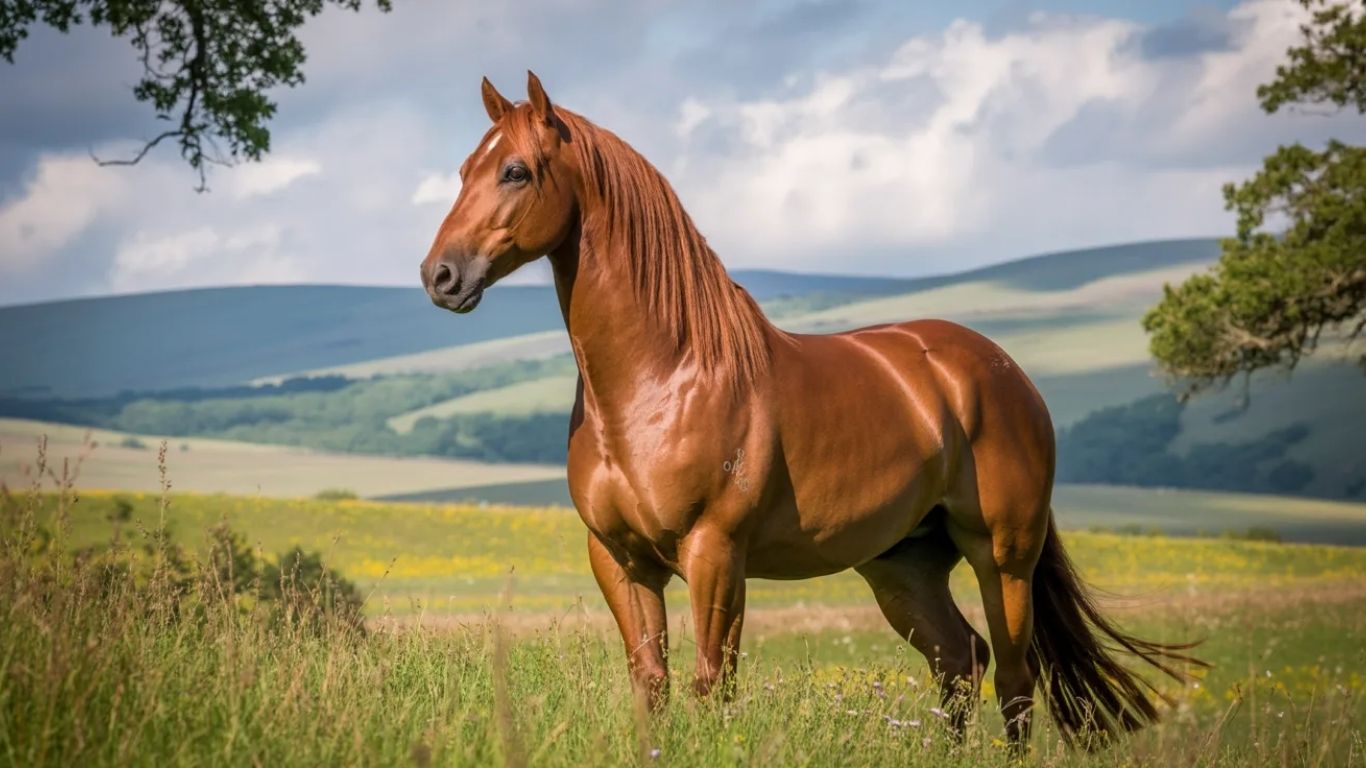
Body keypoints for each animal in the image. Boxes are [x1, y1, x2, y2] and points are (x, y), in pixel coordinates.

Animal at [420, 71, 1202, 748]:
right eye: (462, 171)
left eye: (516, 171)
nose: (439, 276)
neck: (660, 382)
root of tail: (1007, 377)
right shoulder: (619, 559)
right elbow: (652, 685)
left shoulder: (715, 553)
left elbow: (712, 684)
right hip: (903, 566)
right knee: (959, 661)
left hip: (1003, 557)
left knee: (1012, 678)